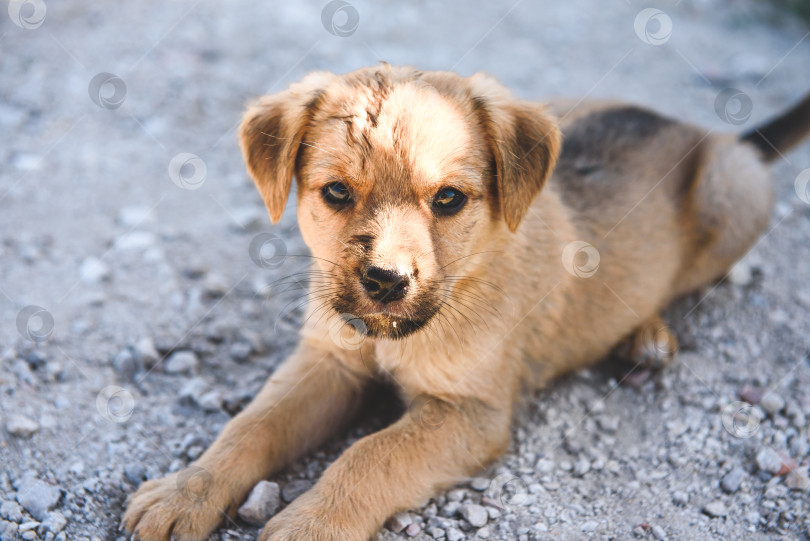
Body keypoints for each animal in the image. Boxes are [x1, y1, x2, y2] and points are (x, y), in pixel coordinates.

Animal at [121, 66, 808, 540]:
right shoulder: (327, 362)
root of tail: (708, 133)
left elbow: (370, 455)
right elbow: (249, 426)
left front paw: (311, 522)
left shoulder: (471, 412)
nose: (385, 281)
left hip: (733, 199)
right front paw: (185, 492)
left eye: (448, 199)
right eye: (337, 192)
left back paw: (649, 337)